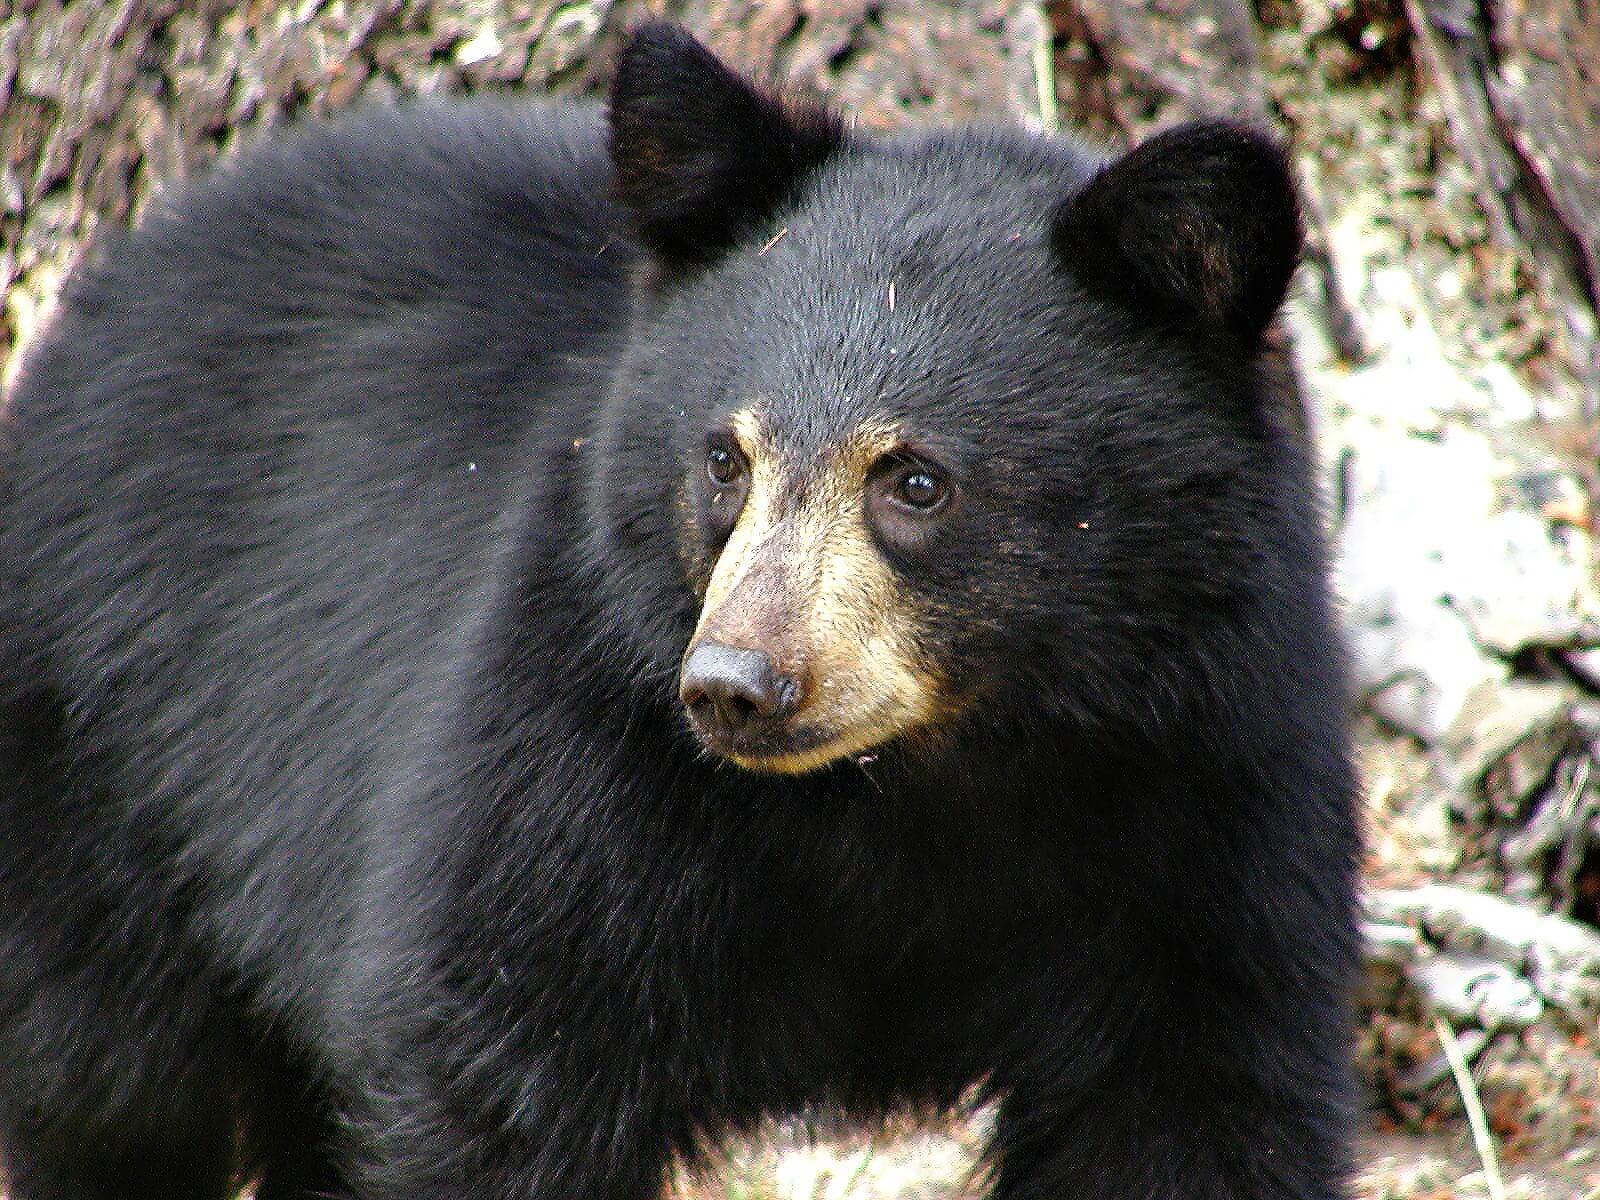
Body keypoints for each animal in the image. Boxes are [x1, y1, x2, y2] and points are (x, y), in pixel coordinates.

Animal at [0, 18, 1363, 1200]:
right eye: (725, 459)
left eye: (916, 481)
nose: (735, 688)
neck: (920, 782)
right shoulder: (577, 744)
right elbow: (498, 1062)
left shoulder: (1208, 781)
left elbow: (1198, 1100)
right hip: (109, 751)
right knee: (113, 1084)